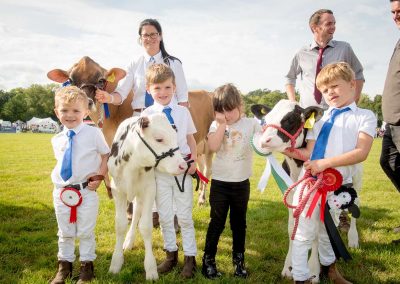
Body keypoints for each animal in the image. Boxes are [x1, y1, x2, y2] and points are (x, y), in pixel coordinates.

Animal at [107, 113, 187, 280]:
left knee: (137, 211)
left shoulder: (150, 189)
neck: (133, 166)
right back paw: (128, 242)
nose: (183, 165)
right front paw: (116, 262)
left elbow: (145, 226)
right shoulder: (117, 190)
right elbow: (120, 225)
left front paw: (150, 269)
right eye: (159, 139)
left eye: (175, 136)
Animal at [252, 100, 360, 282]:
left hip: (358, 177)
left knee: (355, 208)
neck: (297, 166)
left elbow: (316, 232)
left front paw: (314, 271)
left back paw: (353, 239)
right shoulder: (290, 196)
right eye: (266, 119)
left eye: (290, 119)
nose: (264, 140)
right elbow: (292, 229)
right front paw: (289, 268)